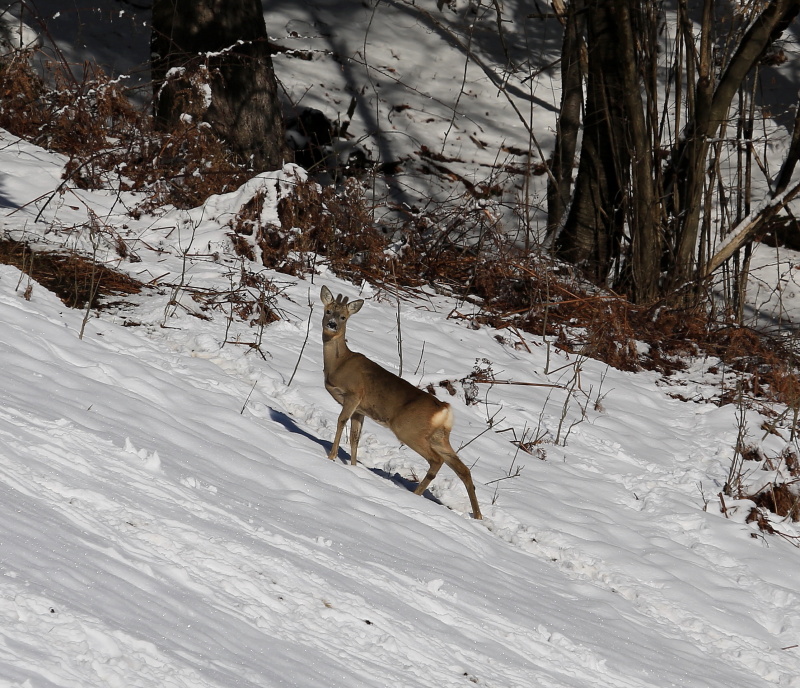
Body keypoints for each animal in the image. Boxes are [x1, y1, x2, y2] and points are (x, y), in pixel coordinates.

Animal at [318, 282, 482, 520]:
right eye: (328, 311)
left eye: (343, 317)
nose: (331, 325)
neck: (339, 363)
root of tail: (444, 409)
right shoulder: (361, 409)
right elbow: (355, 437)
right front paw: (354, 467)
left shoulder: (354, 395)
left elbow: (341, 422)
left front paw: (331, 457)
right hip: (439, 436)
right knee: (464, 469)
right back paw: (478, 516)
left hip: (408, 429)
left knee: (437, 460)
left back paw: (415, 494)